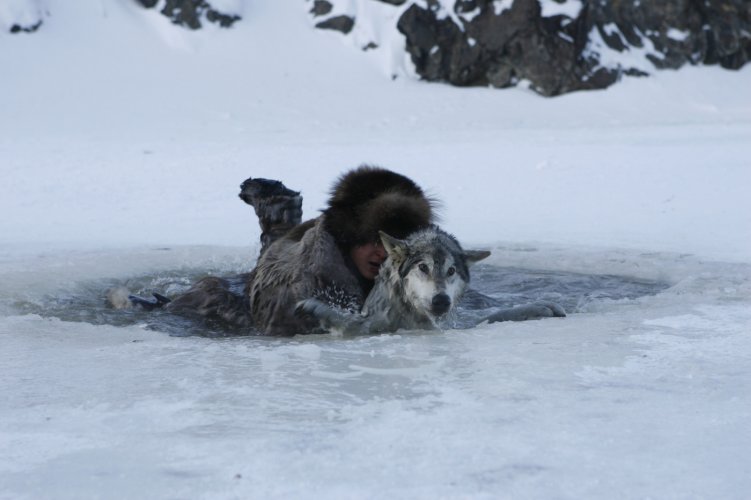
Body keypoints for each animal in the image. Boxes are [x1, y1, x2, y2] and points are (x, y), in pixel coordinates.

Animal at [296, 227, 564, 336]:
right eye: (423, 267)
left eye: (451, 270)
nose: (441, 300)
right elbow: (352, 325)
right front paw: (318, 310)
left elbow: (493, 317)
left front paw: (542, 308)